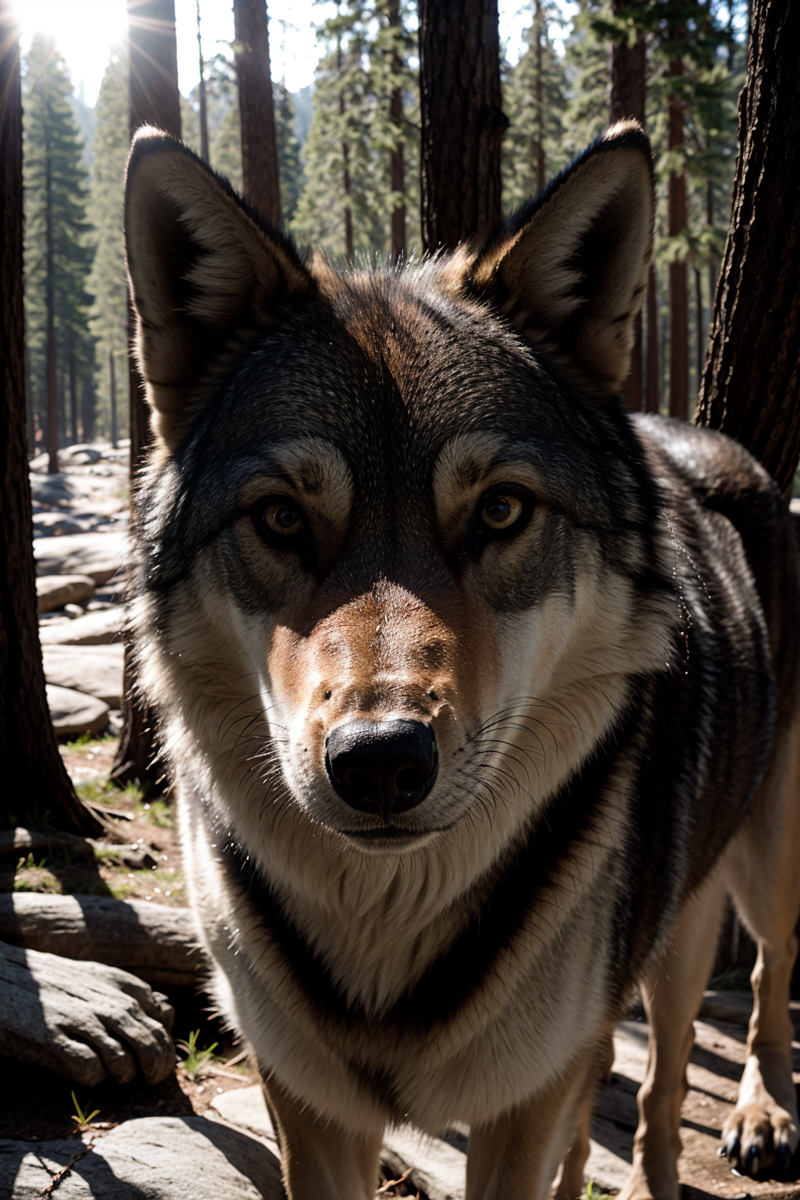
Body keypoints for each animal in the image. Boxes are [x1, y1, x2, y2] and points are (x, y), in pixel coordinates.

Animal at [123, 124, 800, 1200]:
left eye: (500, 511)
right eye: (281, 519)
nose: (379, 761)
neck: (388, 926)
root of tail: (693, 433)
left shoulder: (516, 1107)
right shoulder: (307, 1100)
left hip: (752, 867)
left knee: (730, 1010)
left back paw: (760, 1114)